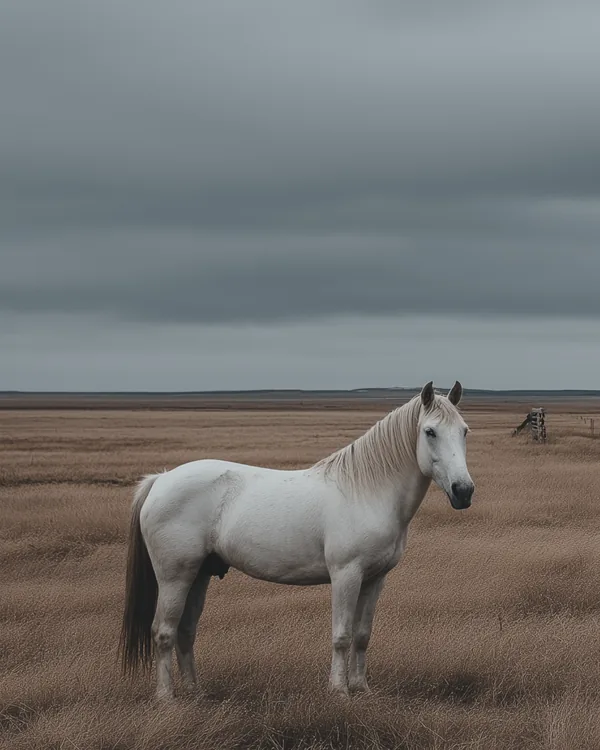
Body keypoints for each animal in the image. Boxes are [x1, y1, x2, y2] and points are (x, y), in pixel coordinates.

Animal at [119, 380, 475, 700]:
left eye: (464, 431)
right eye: (430, 432)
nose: (464, 491)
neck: (367, 492)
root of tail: (161, 479)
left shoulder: (375, 579)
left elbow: (362, 635)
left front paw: (362, 689)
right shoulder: (346, 574)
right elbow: (342, 636)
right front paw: (339, 692)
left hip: (199, 575)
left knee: (185, 631)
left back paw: (196, 693)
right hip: (174, 576)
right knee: (163, 632)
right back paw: (166, 697)